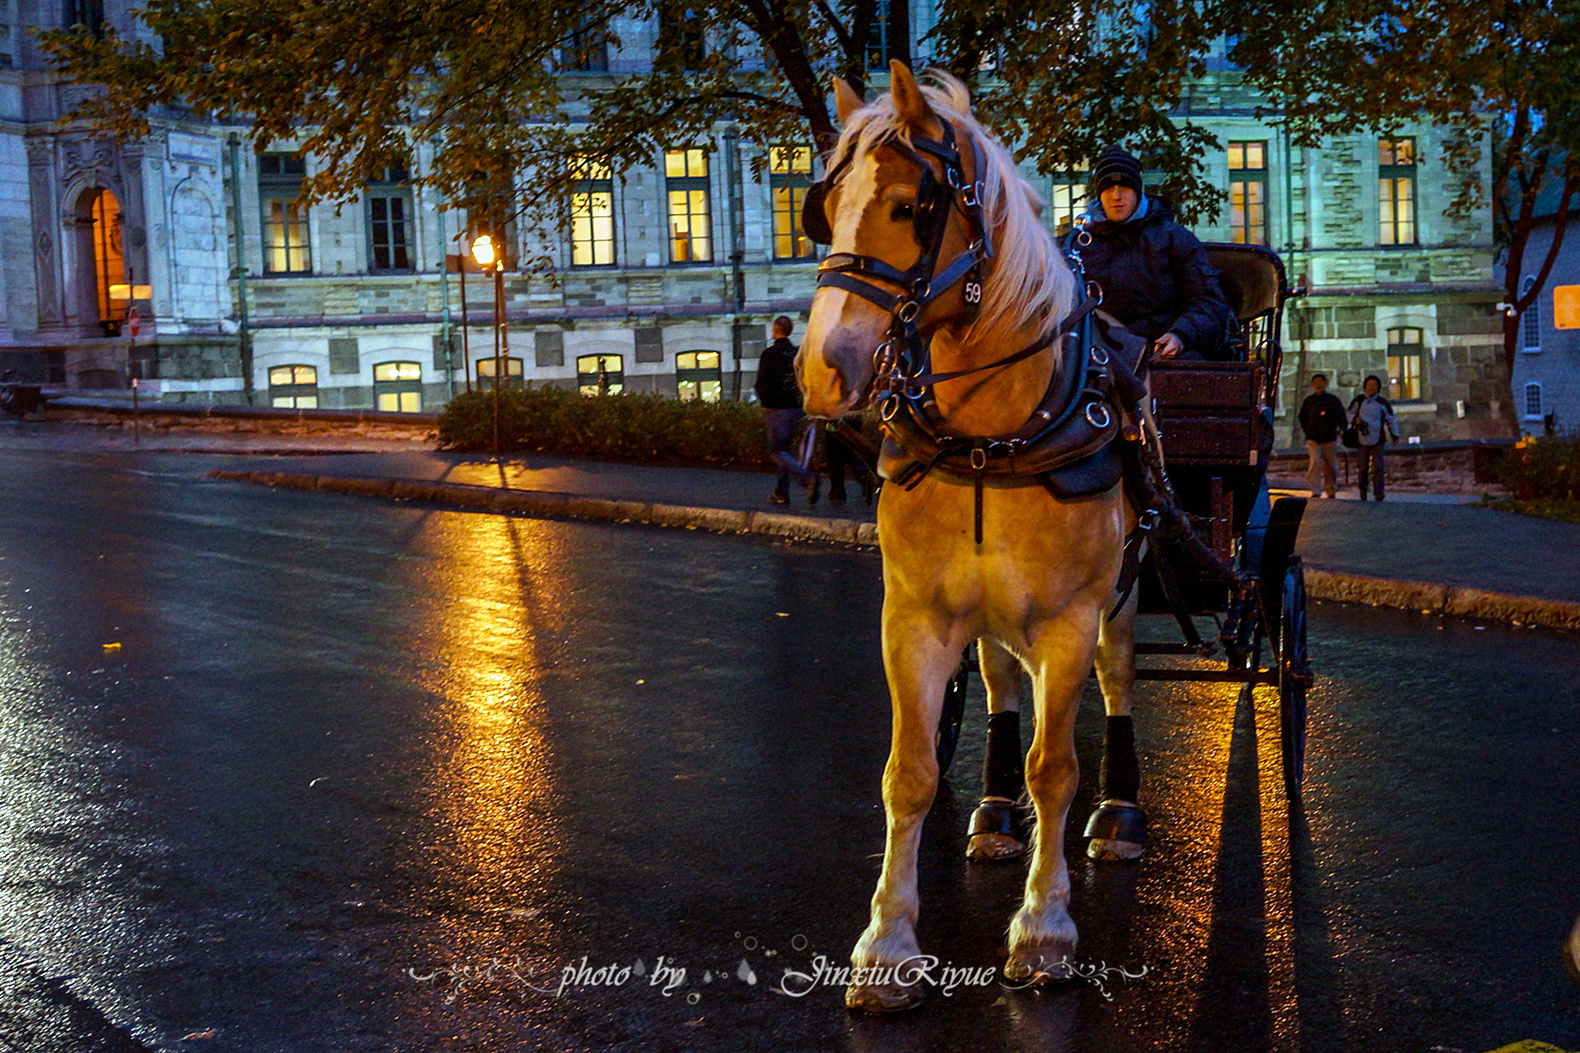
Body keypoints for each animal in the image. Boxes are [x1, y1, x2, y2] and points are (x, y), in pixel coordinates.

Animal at [796, 63, 1143, 1011]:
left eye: (914, 206)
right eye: (824, 205)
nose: (820, 369)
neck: (993, 439)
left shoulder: (1069, 619)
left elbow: (1056, 767)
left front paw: (1045, 928)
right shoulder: (913, 617)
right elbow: (909, 773)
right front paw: (887, 943)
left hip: (1120, 602)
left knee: (1119, 682)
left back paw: (1118, 814)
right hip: (988, 622)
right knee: (999, 687)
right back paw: (991, 815)